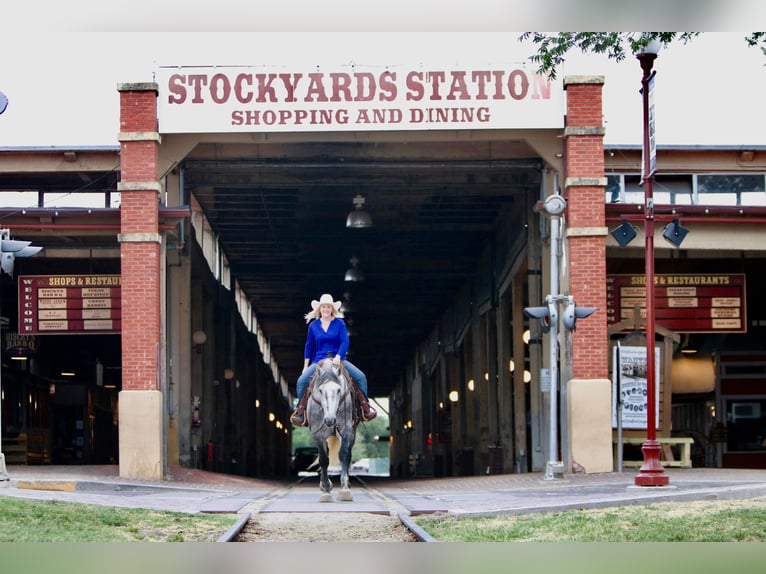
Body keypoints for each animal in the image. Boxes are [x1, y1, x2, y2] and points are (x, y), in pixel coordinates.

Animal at [306, 362, 360, 502]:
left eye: (338, 390)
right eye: (320, 390)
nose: (330, 420)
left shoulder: (346, 430)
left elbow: (344, 455)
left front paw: (344, 490)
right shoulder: (318, 434)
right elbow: (324, 459)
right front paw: (325, 489)